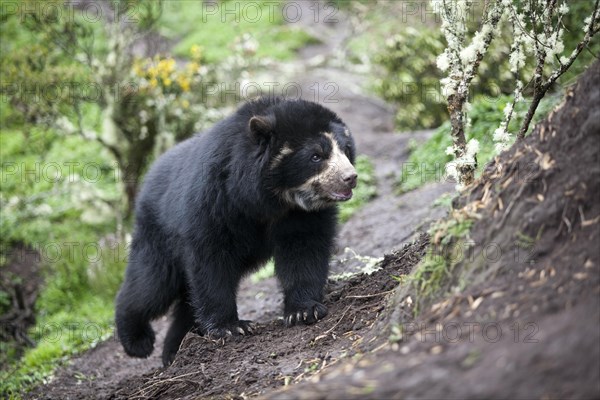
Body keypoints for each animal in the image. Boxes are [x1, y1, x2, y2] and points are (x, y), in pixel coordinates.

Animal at [116, 97, 356, 366]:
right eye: (316, 156)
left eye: (346, 150)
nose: (350, 177)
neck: (272, 198)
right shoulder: (214, 200)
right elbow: (211, 262)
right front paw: (231, 327)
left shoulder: (302, 216)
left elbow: (305, 250)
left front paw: (303, 311)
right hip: (158, 233)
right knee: (152, 285)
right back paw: (138, 340)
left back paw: (174, 350)